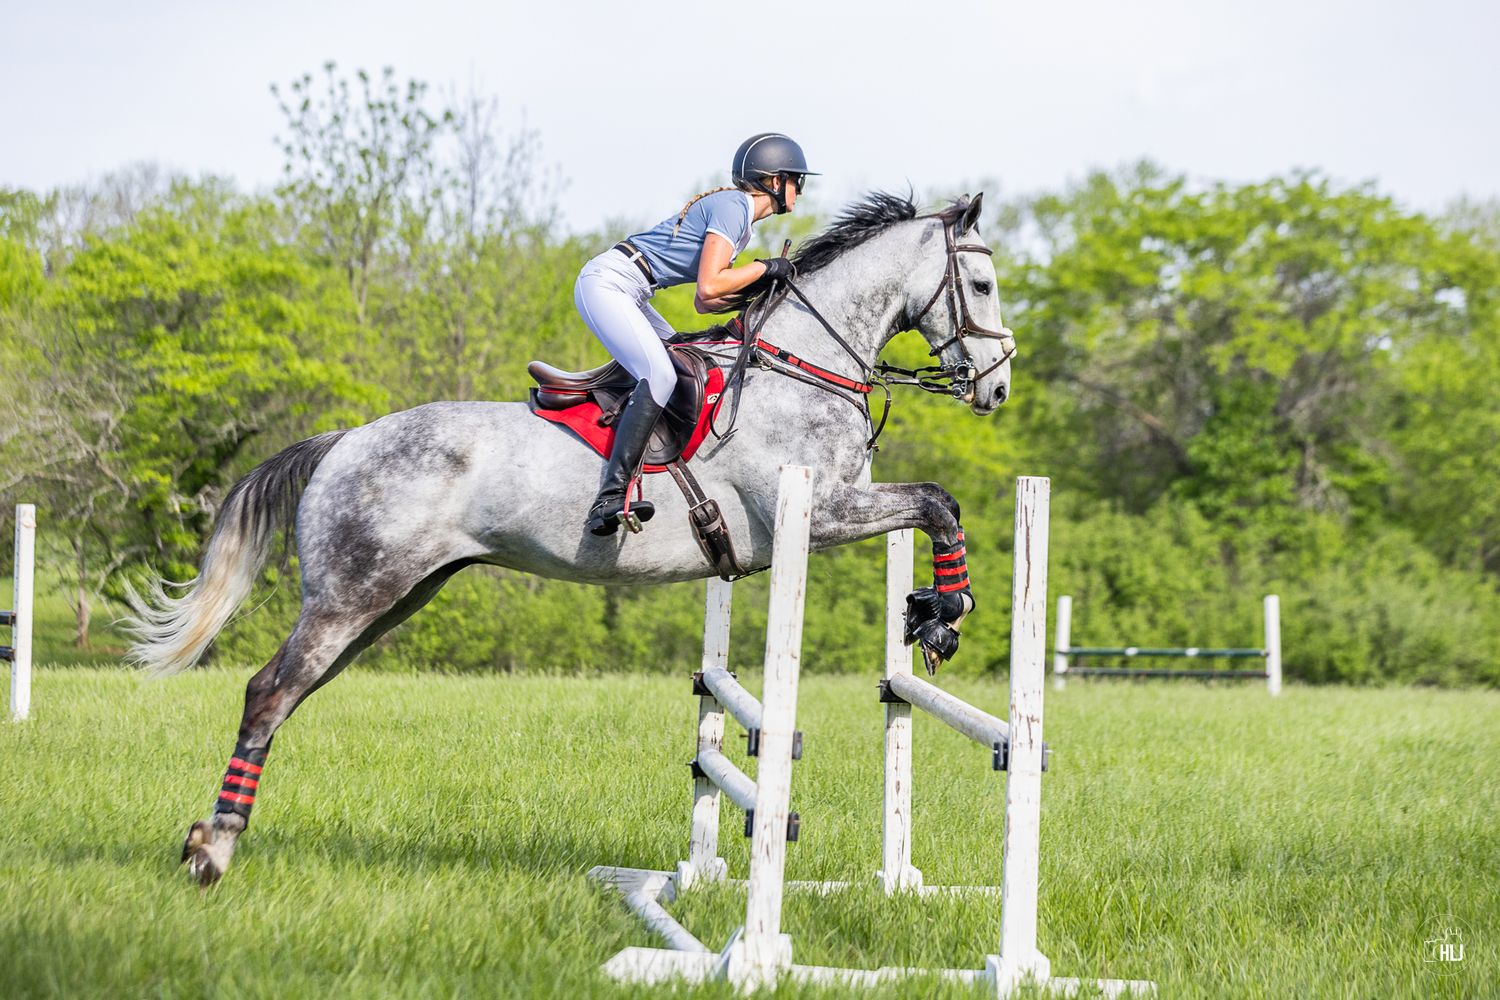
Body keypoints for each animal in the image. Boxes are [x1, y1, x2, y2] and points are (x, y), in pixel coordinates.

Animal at [124, 191, 1016, 885]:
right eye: (981, 283)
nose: (998, 387)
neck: (801, 363)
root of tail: (342, 441)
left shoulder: (838, 505)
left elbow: (934, 503)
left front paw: (927, 611)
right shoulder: (822, 509)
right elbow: (937, 503)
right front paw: (947, 612)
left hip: (394, 599)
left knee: (290, 693)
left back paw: (213, 834)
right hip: (354, 594)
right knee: (269, 691)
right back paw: (213, 849)